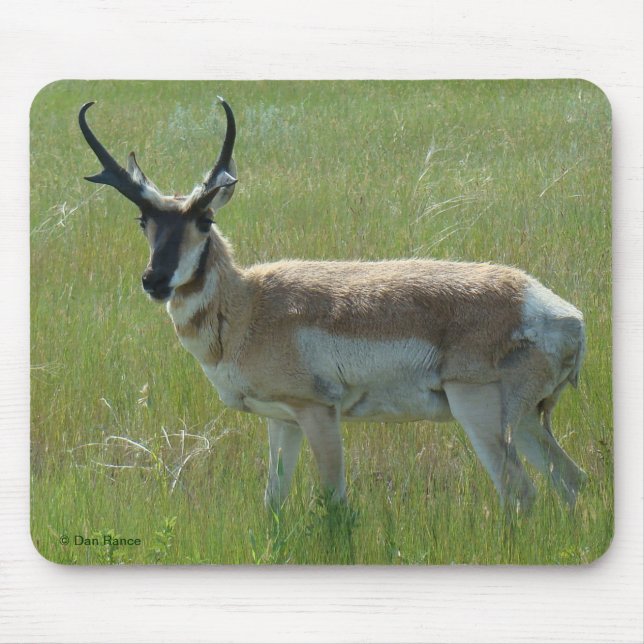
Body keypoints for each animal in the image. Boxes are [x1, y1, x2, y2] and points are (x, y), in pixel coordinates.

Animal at [79, 98, 587, 514]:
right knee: (571, 480)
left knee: (520, 491)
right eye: (143, 219)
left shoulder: (318, 413)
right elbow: (273, 503)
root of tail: (562, 314)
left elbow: (335, 502)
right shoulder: (281, 421)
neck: (249, 305)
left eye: (205, 219)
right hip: (526, 420)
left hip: (479, 412)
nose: (154, 281)